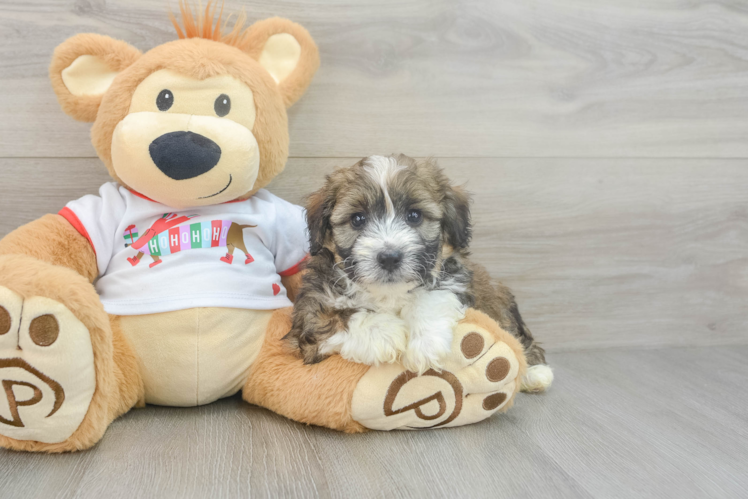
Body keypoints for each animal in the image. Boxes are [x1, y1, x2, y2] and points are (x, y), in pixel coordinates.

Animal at [286, 154, 556, 392]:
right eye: (358, 219)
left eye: (414, 215)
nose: (389, 257)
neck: (389, 293)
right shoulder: (309, 317)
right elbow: (333, 318)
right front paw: (383, 332)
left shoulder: (455, 278)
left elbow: (433, 296)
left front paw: (425, 343)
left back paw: (535, 373)